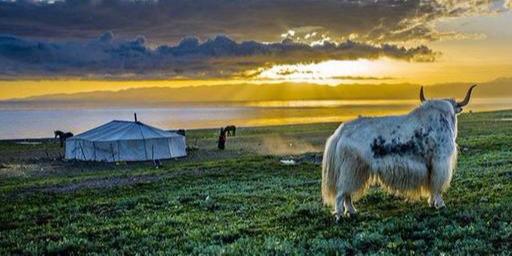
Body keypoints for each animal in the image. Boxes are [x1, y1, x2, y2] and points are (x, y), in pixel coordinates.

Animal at [322, 84, 478, 218]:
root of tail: (340, 132)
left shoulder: (430, 165)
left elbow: (431, 184)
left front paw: (432, 202)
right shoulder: (440, 161)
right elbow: (437, 185)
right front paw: (440, 204)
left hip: (355, 170)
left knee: (346, 193)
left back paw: (352, 211)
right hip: (352, 169)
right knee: (341, 193)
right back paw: (340, 215)